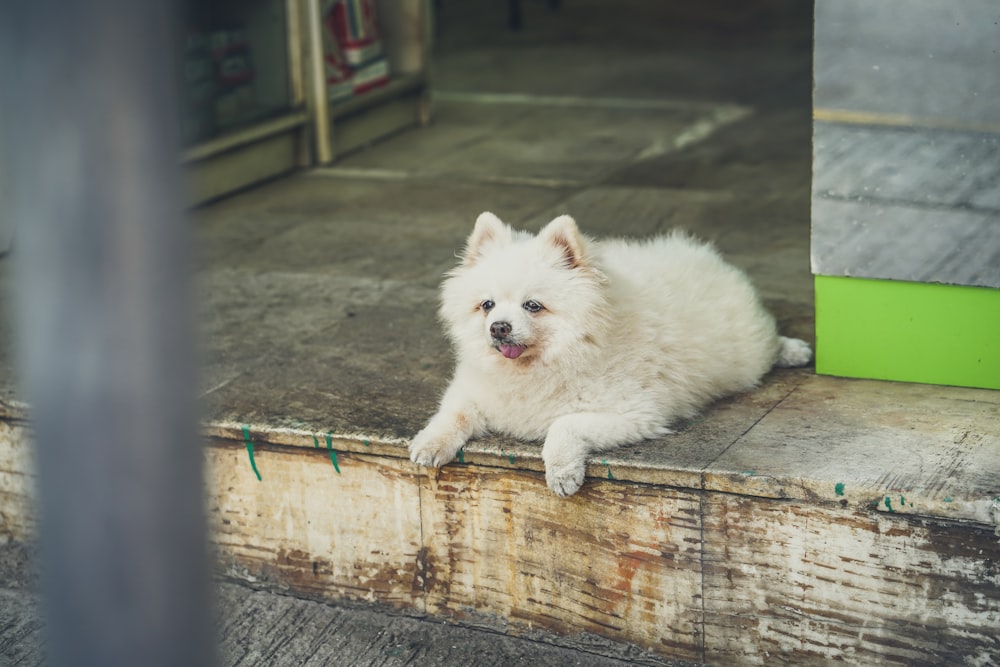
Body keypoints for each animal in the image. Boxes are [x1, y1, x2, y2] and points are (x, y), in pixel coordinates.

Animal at [408, 211, 812, 498]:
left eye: (533, 306)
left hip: (747, 354)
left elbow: (564, 424)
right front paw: (429, 444)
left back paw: (795, 350)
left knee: (769, 344)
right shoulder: (473, 390)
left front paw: (562, 471)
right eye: (487, 305)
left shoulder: (636, 414)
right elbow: (452, 414)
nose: (499, 327)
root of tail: (703, 255)